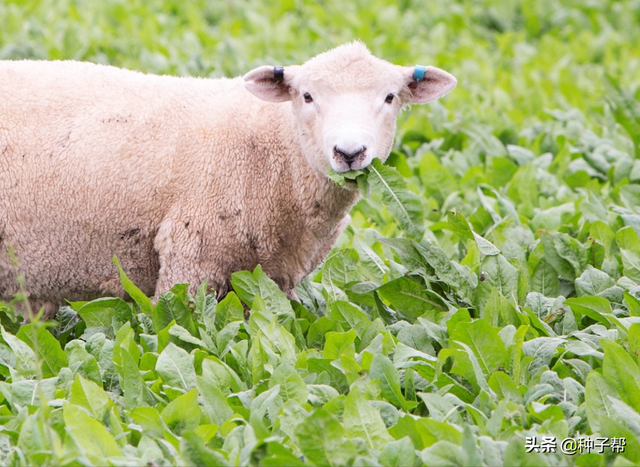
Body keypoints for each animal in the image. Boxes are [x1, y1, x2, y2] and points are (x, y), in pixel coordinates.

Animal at [1, 42, 460, 318]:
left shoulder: (270, 280)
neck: (276, 148)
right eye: (307, 96)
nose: (349, 153)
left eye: (389, 97)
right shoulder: (192, 256)